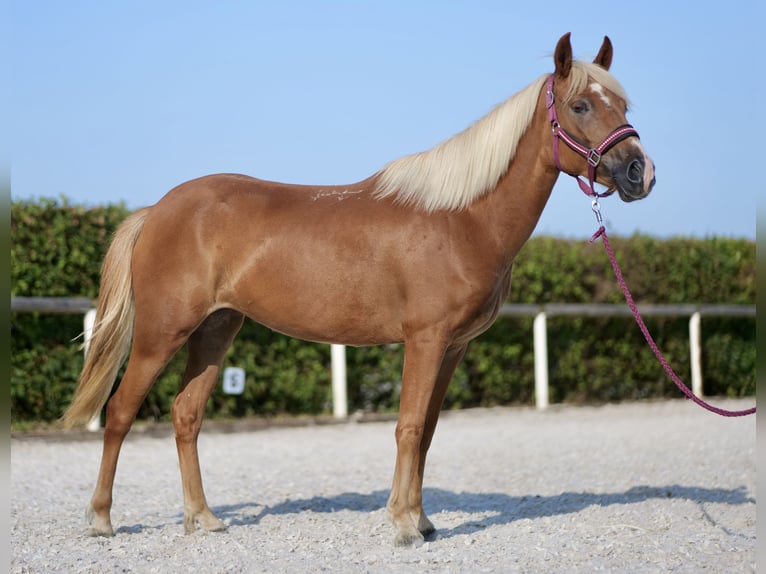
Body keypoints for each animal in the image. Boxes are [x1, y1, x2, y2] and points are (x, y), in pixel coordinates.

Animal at [63, 33, 656, 548]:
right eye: (581, 105)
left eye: (623, 103)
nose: (640, 172)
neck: (461, 219)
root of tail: (158, 209)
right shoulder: (425, 339)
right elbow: (409, 427)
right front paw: (402, 525)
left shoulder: (454, 347)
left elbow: (429, 431)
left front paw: (423, 520)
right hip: (162, 333)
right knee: (120, 412)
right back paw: (101, 520)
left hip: (216, 330)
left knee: (186, 415)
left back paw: (203, 519)